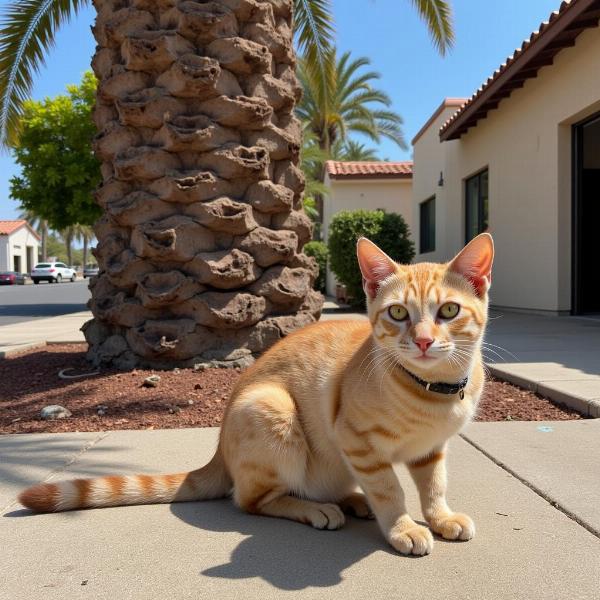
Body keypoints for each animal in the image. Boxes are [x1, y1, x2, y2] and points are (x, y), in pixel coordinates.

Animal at [21, 232, 494, 556]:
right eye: (397, 313)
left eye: (448, 310)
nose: (423, 341)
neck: (435, 391)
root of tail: (218, 453)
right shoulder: (358, 443)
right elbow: (389, 490)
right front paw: (403, 528)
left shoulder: (430, 451)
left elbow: (434, 487)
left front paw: (440, 518)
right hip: (272, 408)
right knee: (251, 500)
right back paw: (318, 509)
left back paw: (350, 500)